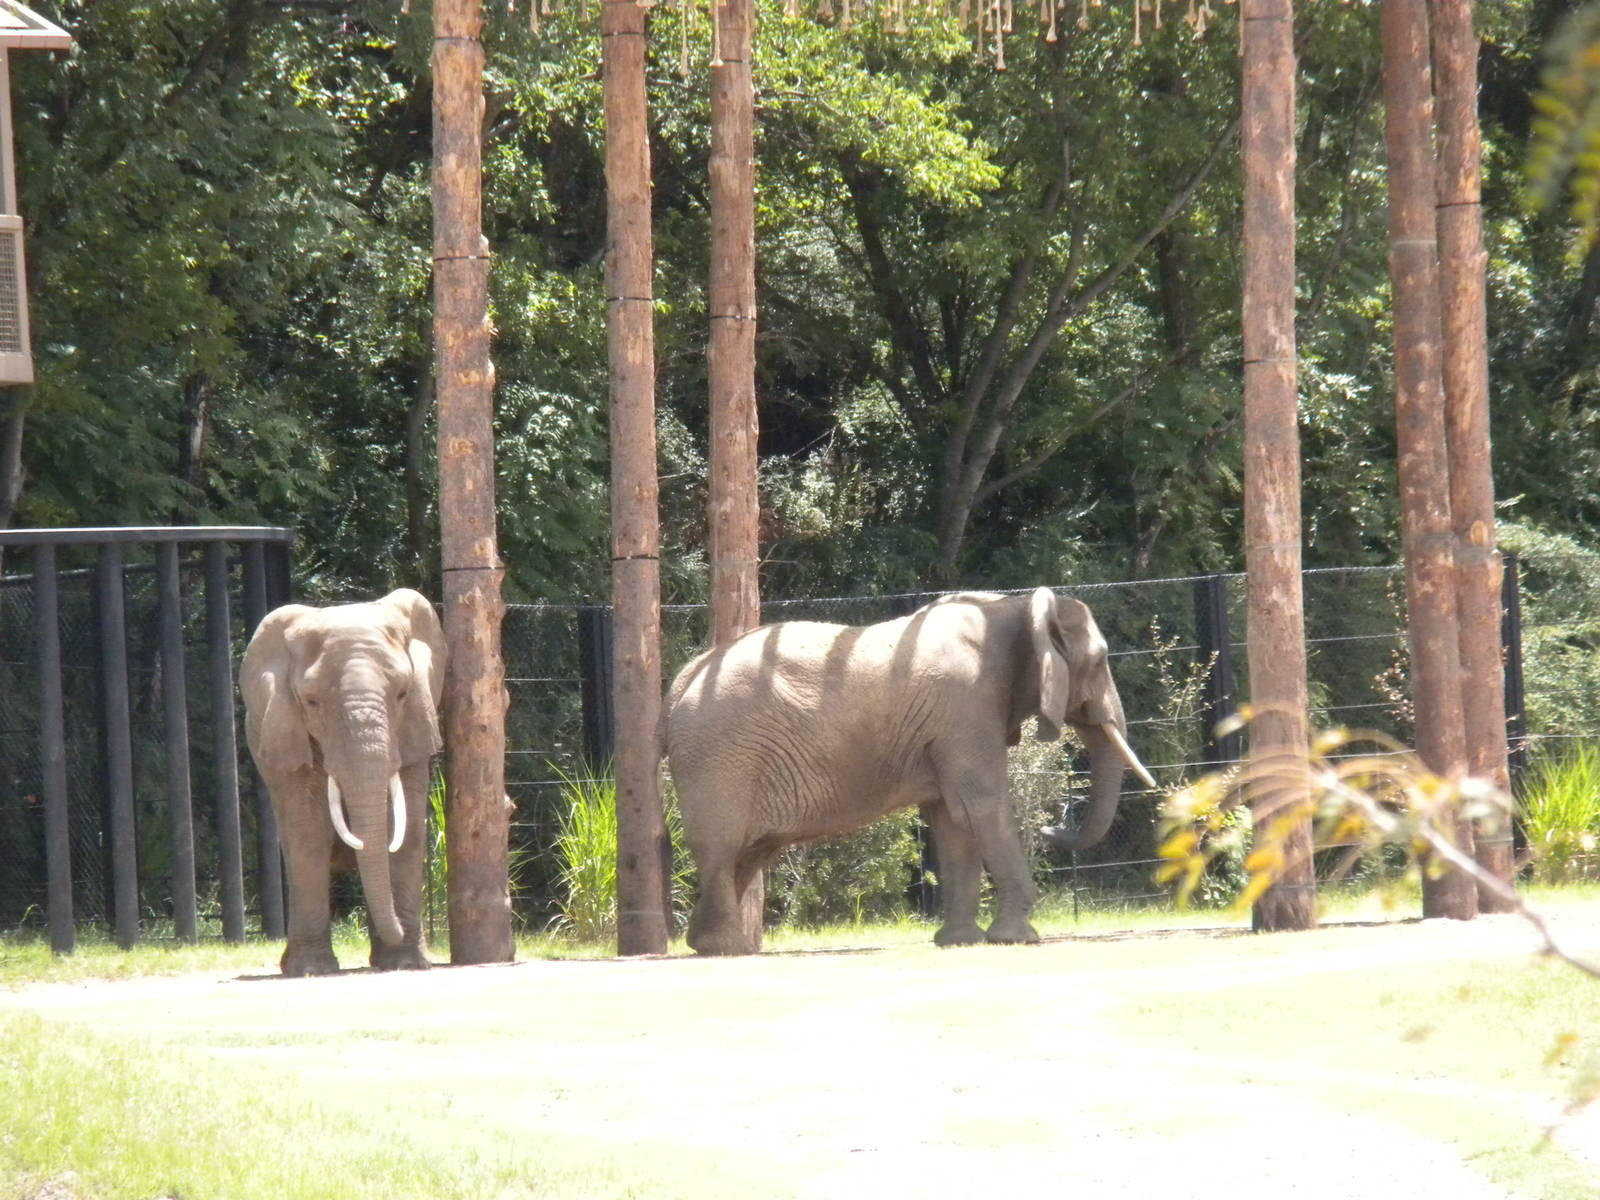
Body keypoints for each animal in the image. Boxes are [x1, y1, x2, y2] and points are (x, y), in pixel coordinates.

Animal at [241, 588, 445, 977]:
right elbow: (308, 834)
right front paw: (312, 970)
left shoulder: (415, 729)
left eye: (402, 694)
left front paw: (406, 963)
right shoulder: (287, 738)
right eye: (312, 702)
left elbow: (407, 830)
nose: (397, 929)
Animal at [664, 587, 1155, 956]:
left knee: (747, 853)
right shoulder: (965, 705)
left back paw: (709, 945)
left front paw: (958, 942)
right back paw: (729, 949)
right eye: (1100, 660)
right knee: (723, 848)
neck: (1012, 606)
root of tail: (680, 683)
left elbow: (951, 816)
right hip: (720, 758)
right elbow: (981, 804)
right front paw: (1017, 939)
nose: (1052, 827)